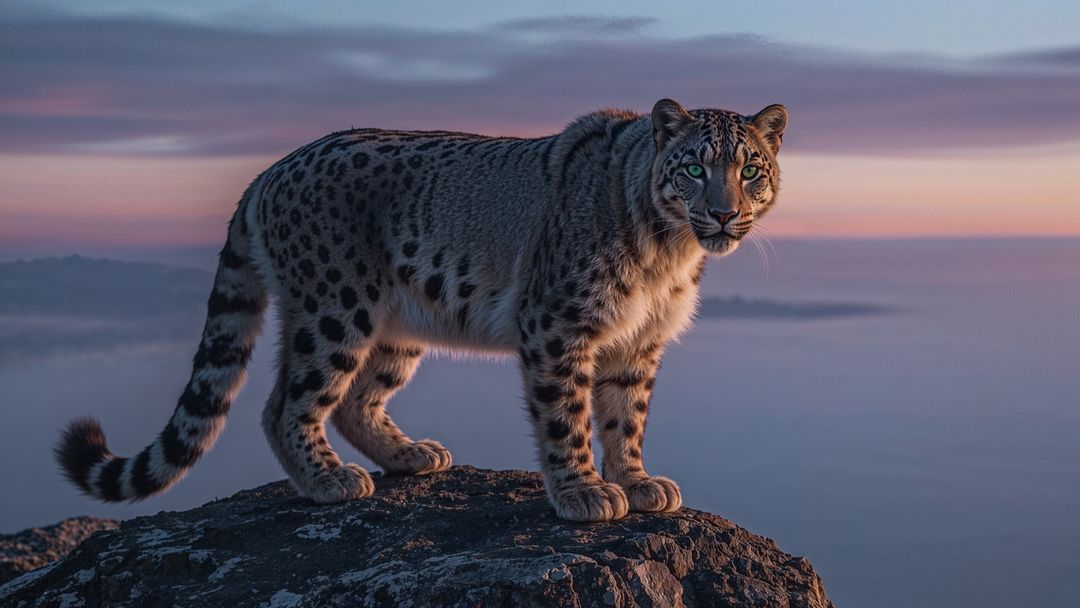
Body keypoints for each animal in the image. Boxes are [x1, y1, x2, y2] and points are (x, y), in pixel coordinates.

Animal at [56, 98, 787, 522]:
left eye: (750, 169)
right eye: (694, 168)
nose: (724, 213)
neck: (670, 252)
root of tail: (271, 170)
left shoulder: (638, 343)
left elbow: (625, 416)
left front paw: (636, 482)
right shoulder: (558, 325)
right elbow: (567, 415)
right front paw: (583, 491)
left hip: (399, 324)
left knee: (354, 401)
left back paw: (412, 456)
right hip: (334, 309)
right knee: (289, 402)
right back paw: (331, 481)